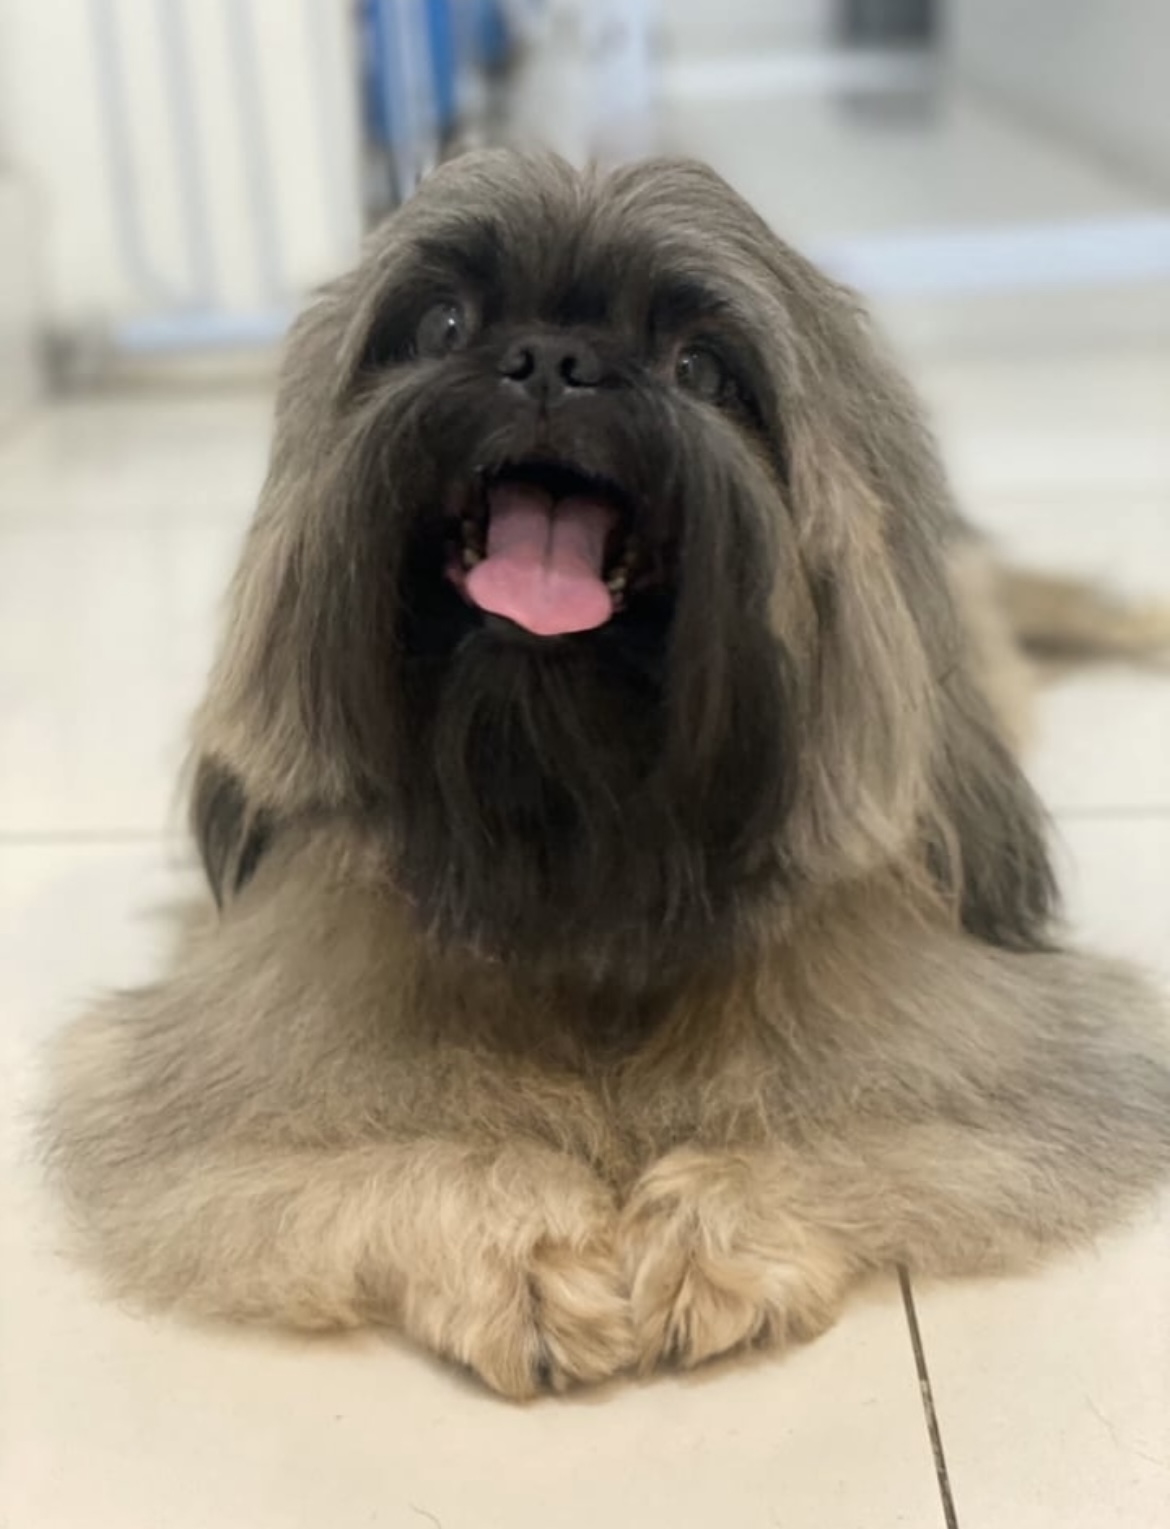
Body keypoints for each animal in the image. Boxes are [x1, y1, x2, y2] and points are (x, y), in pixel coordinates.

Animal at [43, 150, 1170, 1400]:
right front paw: (521, 1247)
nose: (551, 359)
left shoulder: (1000, 1048)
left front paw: (712, 1227)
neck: (579, 837)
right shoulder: (227, 1061)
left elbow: (869, 1120)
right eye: (441, 323)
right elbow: (374, 1135)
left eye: (702, 366)